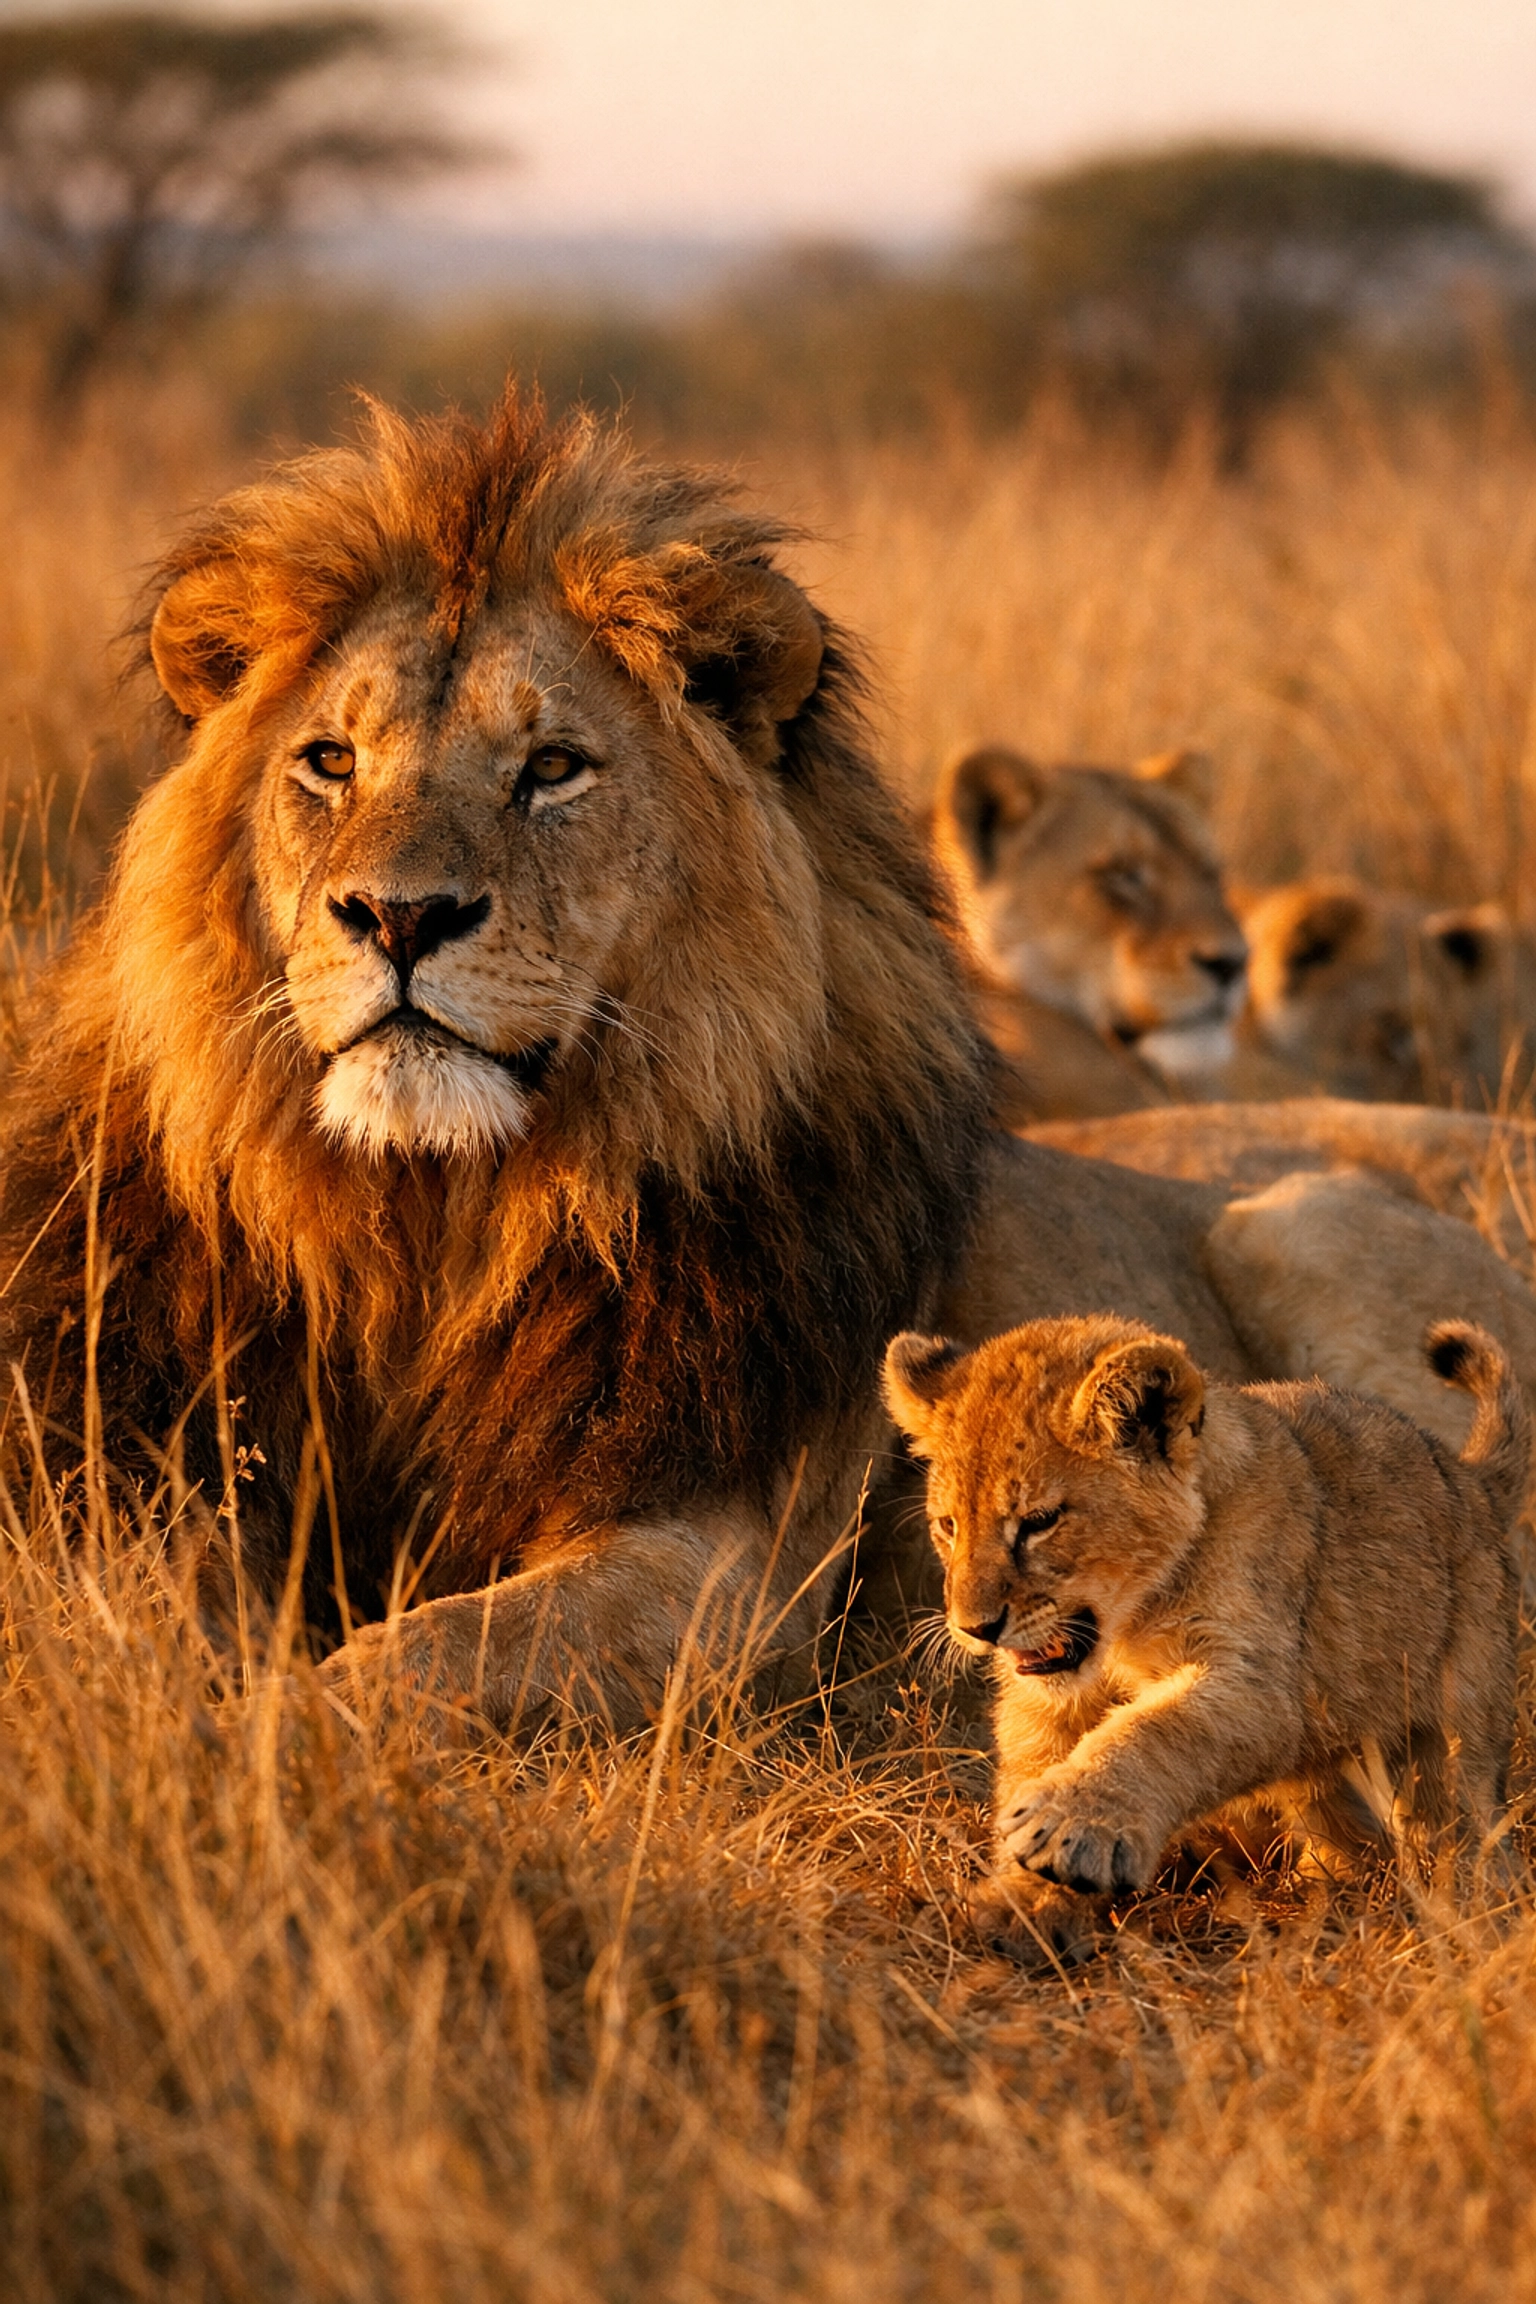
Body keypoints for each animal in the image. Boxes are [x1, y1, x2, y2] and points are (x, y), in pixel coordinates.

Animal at [884, 1313, 1525, 1970]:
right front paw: (1024, 1905)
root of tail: (1471, 1477)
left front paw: (1068, 1828)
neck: (1128, 1625)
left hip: (1457, 1722)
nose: (974, 1628)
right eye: (949, 1525)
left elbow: (1157, 1730)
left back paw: (1471, 1908)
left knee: (1462, 1818)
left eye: (1039, 1522)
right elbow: (1036, 1760)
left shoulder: (1261, 1682)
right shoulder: (1047, 1697)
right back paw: (1324, 1893)